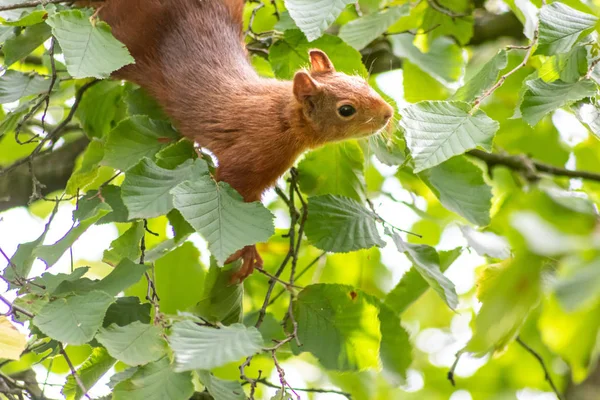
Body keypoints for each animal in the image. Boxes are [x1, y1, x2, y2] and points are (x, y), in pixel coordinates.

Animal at [92, 0, 394, 282]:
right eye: (346, 109)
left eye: (360, 80)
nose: (388, 113)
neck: (282, 118)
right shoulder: (251, 156)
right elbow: (231, 187)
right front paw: (247, 253)